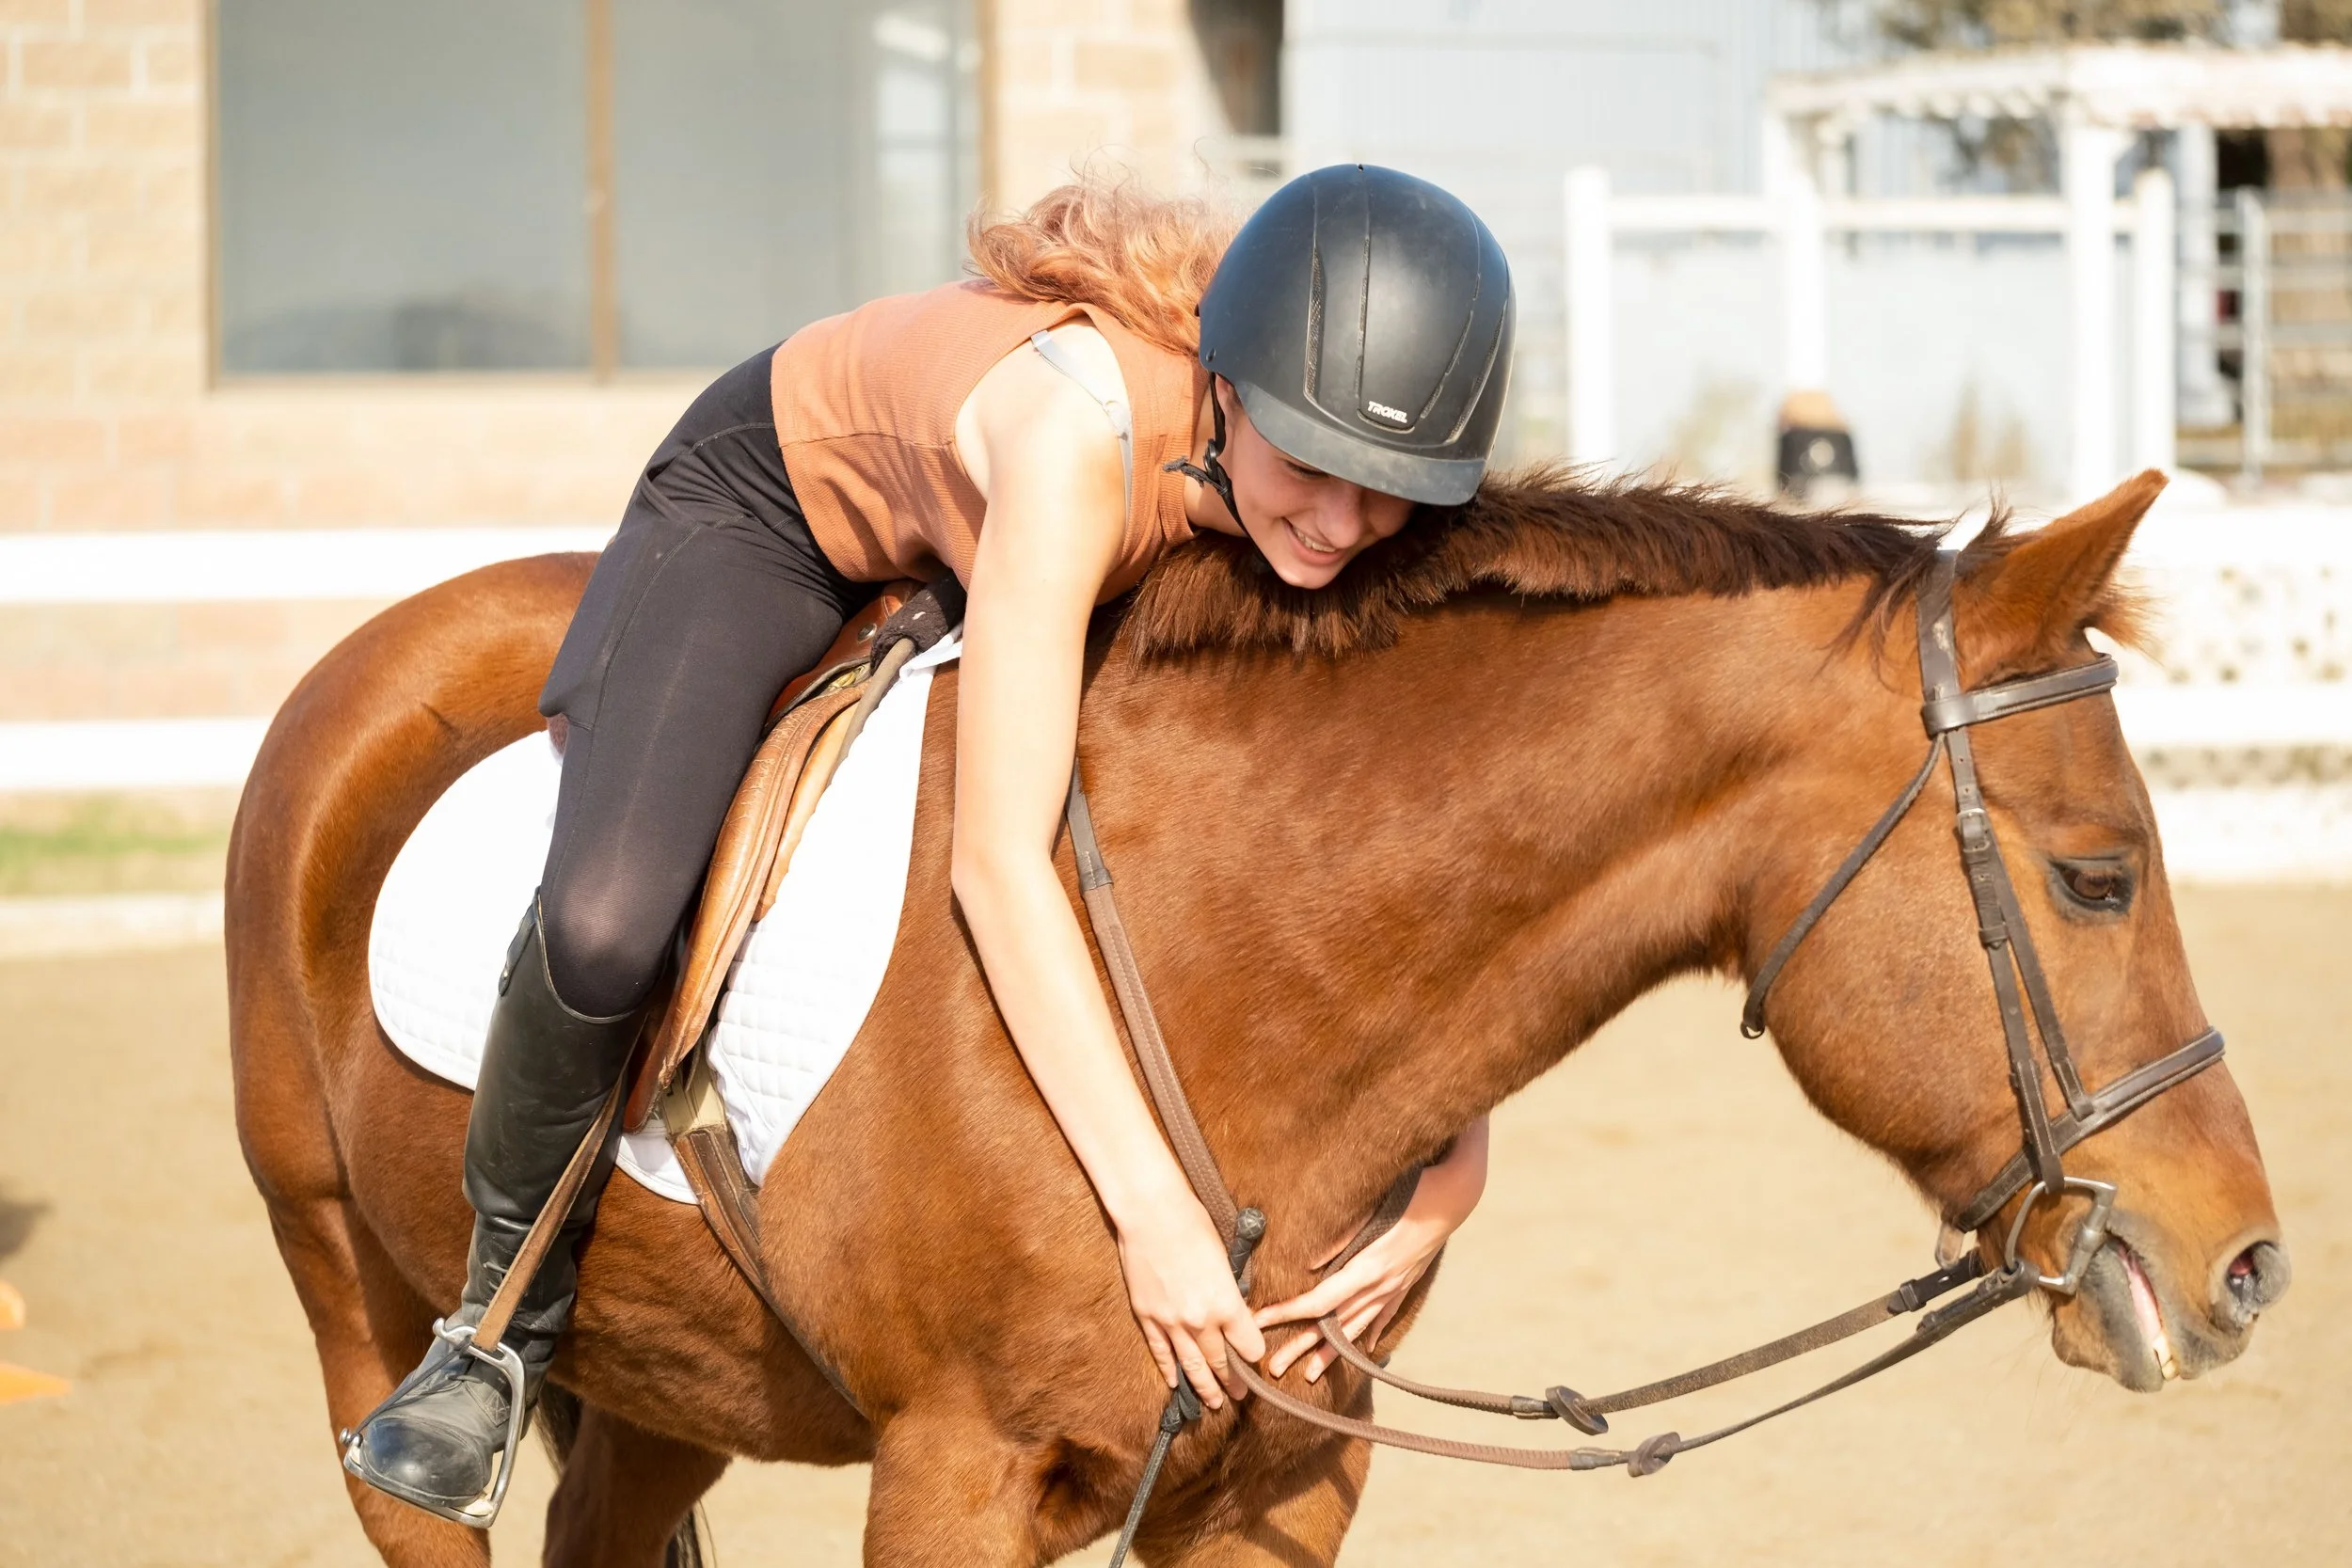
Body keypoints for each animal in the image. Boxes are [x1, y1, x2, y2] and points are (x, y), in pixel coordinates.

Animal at [226, 467, 2285, 1567]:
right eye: (2097, 876)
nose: (2247, 1264)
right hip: (354, 1309)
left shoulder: (1281, 1479)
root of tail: (371, 659)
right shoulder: (953, 1475)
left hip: (664, 1392)